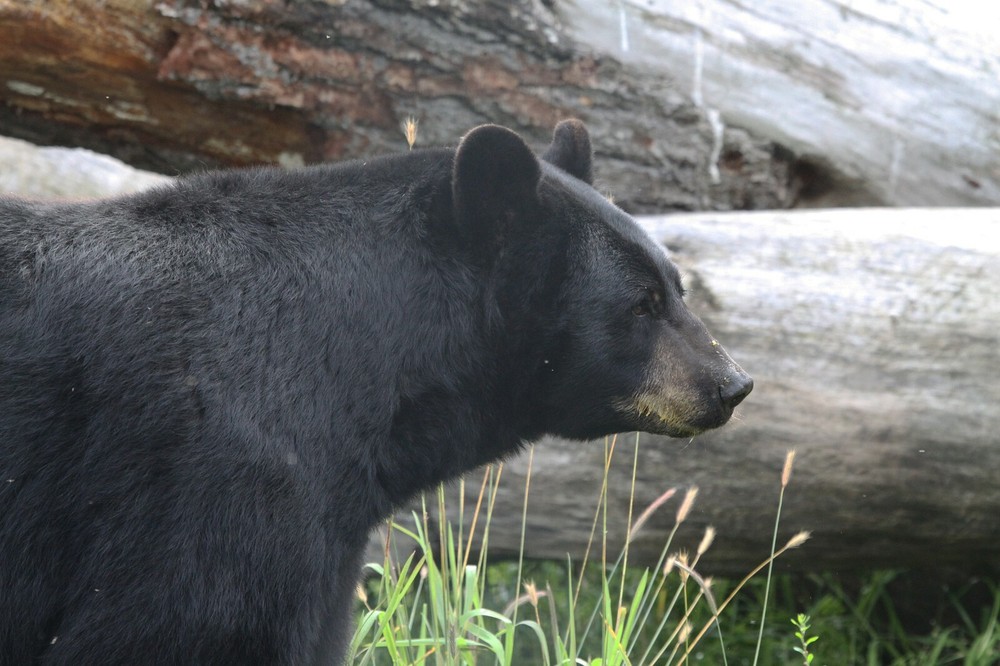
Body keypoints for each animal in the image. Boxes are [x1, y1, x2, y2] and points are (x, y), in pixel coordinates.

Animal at [0, 120, 751, 665]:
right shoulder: (215, 477)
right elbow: (182, 624)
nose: (733, 384)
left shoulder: (326, 538)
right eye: (642, 304)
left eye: (677, 286)